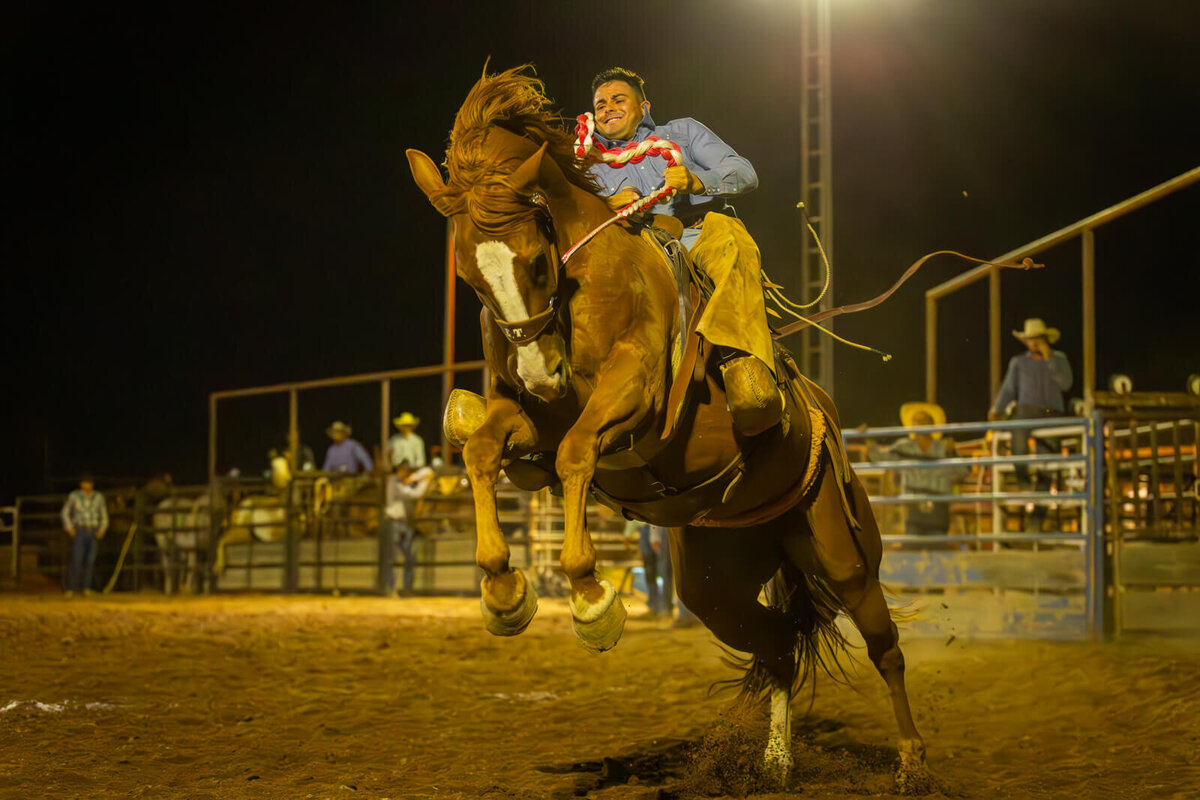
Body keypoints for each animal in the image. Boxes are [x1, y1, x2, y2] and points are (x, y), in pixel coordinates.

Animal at [408, 65, 931, 791]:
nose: (541, 371)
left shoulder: (633, 395)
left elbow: (576, 454)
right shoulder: (530, 413)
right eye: (468, 275)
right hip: (717, 580)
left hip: (842, 547)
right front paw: (503, 591)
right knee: (779, 645)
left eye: (537, 261)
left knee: (884, 647)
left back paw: (911, 760)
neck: (588, 282)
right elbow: (484, 450)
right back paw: (775, 761)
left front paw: (591, 598)